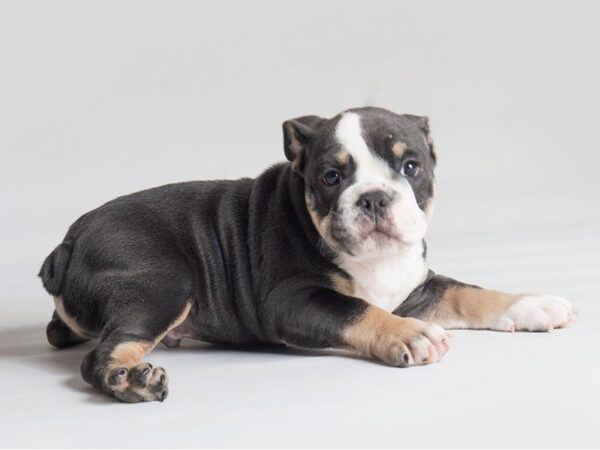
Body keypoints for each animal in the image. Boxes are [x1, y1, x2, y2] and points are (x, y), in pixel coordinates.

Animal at [39, 107, 580, 402]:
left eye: (411, 167)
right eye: (331, 177)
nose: (374, 197)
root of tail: (69, 243)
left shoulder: (419, 286)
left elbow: (468, 291)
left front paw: (531, 304)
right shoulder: (292, 300)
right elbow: (356, 309)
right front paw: (408, 333)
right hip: (164, 283)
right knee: (103, 355)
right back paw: (130, 381)